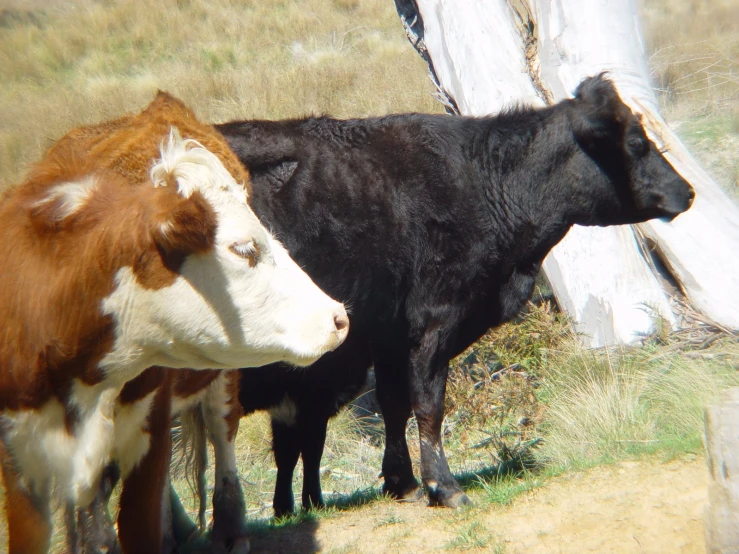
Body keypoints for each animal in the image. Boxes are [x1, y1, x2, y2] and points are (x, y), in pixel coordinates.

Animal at [0, 94, 350, 552]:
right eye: (244, 248)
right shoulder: (19, 460)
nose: (338, 316)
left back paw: (228, 528)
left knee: (222, 432)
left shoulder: (149, 439)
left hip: (222, 383)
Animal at [214, 74, 692, 512]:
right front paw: (443, 487)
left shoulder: (389, 335)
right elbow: (428, 405)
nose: (686, 192)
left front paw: (402, 482)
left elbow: (394, 405)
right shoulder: (434, 321)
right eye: (636, 142)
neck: (482, 182)